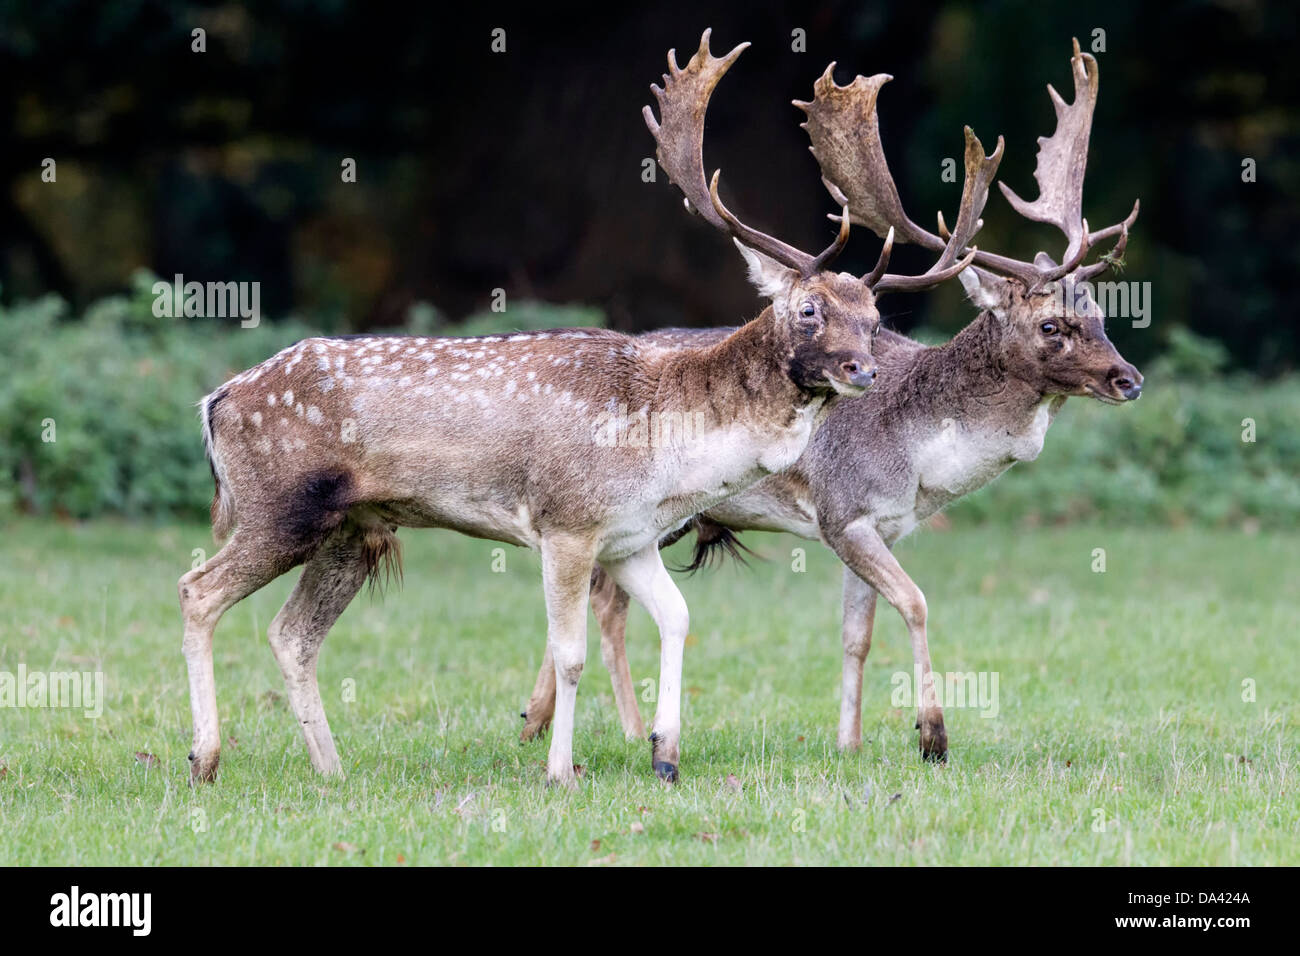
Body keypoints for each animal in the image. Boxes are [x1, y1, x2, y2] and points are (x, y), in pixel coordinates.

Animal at [180, 31, 977, 790]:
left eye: (874, 317)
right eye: (809, 309)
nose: (863, 369)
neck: (666, 450)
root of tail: (216, 400)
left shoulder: (629, 538)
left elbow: (679, 618)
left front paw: (665, 754)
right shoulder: (566, 521)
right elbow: (570, 654)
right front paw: (561, 771)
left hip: (354, 527)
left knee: (290, 633)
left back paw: (331, 770)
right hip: (278, 504)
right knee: (197, 591)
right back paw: (205, 759)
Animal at [522, 39, 1144, 764]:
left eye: (1099, 311)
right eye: (1051, 326)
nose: (1129, 378)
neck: (919, 461)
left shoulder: (882, 524)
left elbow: (857, 633)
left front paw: (849, 742)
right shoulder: (844, 510)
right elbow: (917, 603)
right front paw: (932, 734)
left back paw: (534, 720)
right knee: (603, 600)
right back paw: (618, 728)